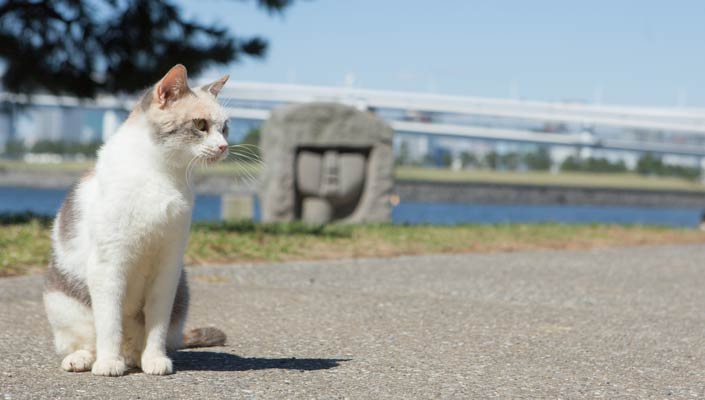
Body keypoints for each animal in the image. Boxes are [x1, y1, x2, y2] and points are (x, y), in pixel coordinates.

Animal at [44, 64, 230, 376]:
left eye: (225, 127)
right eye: (200, 124)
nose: (224, 146)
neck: (160, 174)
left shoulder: (168, 266)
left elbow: (156, 324)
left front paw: (154, 359)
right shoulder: (108, 264)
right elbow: (109, 324)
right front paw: (108, 362)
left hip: (182, 292)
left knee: (145, 338)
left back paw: (134, 356)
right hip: (61, 300)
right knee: (89, 338)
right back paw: (85, 358)